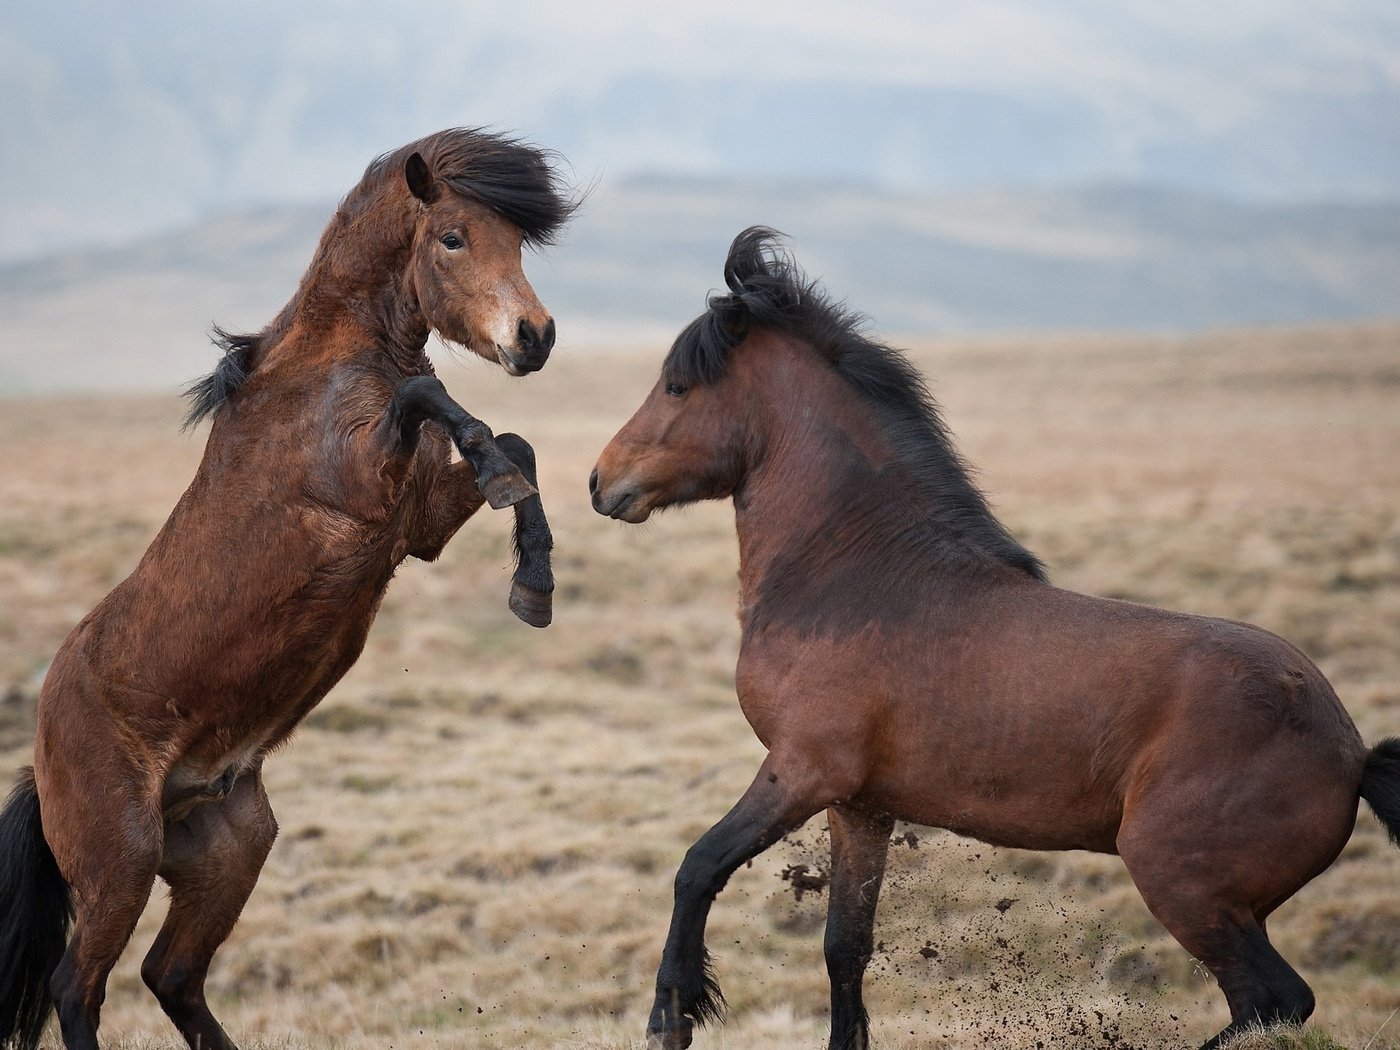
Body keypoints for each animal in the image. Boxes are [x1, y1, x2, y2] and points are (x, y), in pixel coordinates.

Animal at [0, 125, 574, 1050]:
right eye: (453, 238)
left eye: (517, 243)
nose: (535, 337)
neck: (326, 368)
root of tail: (41, 753)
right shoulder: (367, 491)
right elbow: (436, 397)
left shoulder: (415, 526)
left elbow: (511, 447)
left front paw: (535, 582)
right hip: (120, 861)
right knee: (76, 987)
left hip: (228, 849)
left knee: (172, 975)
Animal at [588, 226, 1400, 1047]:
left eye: (677, 387)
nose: (600, 481)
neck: (856, 571)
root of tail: (1349, 750)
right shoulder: (860, 807)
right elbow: (845, 947)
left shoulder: (802, 770)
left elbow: (698, 866)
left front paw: (672, 1015)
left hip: (1184, 885)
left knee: (1272, 1001)